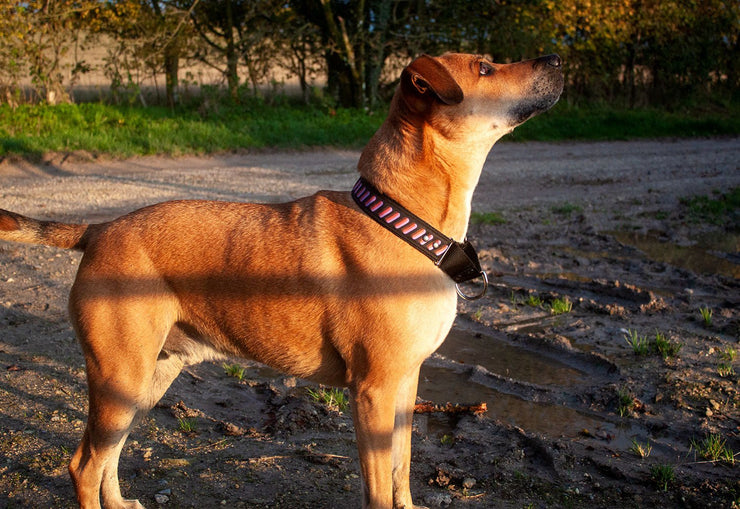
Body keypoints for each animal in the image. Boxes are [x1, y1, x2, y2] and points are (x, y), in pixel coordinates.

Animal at [0, 52, 560, 508]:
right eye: (485, 68)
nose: (555, 59)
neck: (403, 221)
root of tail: (98, 230)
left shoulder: (406, 383)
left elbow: (402, 471)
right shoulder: (374, 390)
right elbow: (380, 487)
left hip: (146, 380)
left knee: (107, 458)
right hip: (120, 378)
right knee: (84, 466)